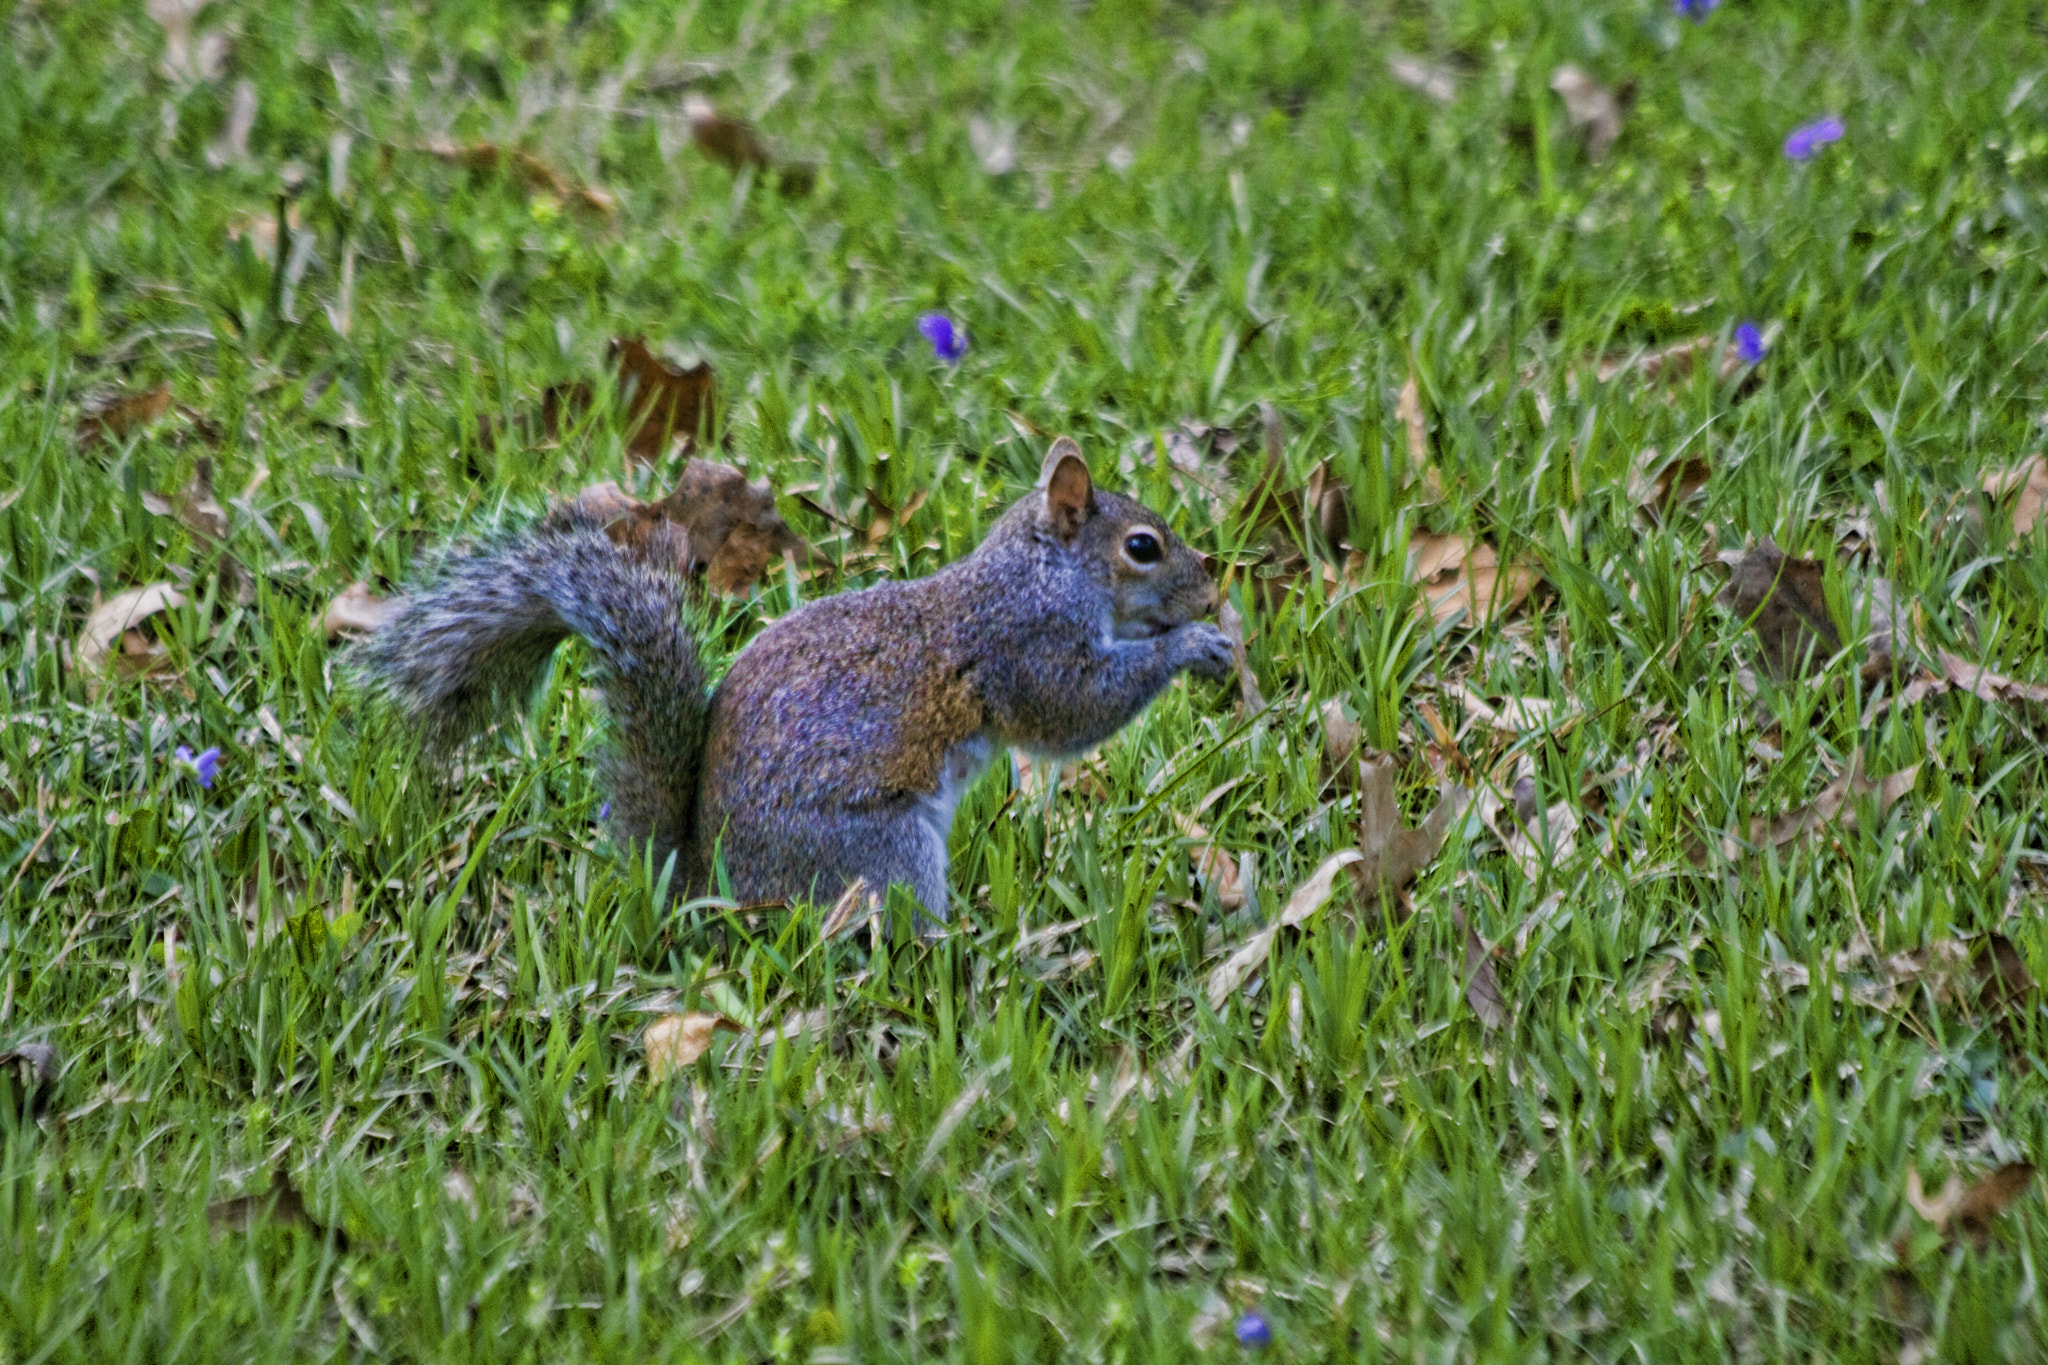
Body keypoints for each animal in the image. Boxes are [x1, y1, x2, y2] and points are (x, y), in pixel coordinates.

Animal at [360, 436, 1232, 921]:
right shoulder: (1026, 644)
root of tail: (704, 881)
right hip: (881, 851)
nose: (1211, 591)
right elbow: (1070, 710)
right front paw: (1194, 646)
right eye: (1144, 547)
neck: (1040, 572)